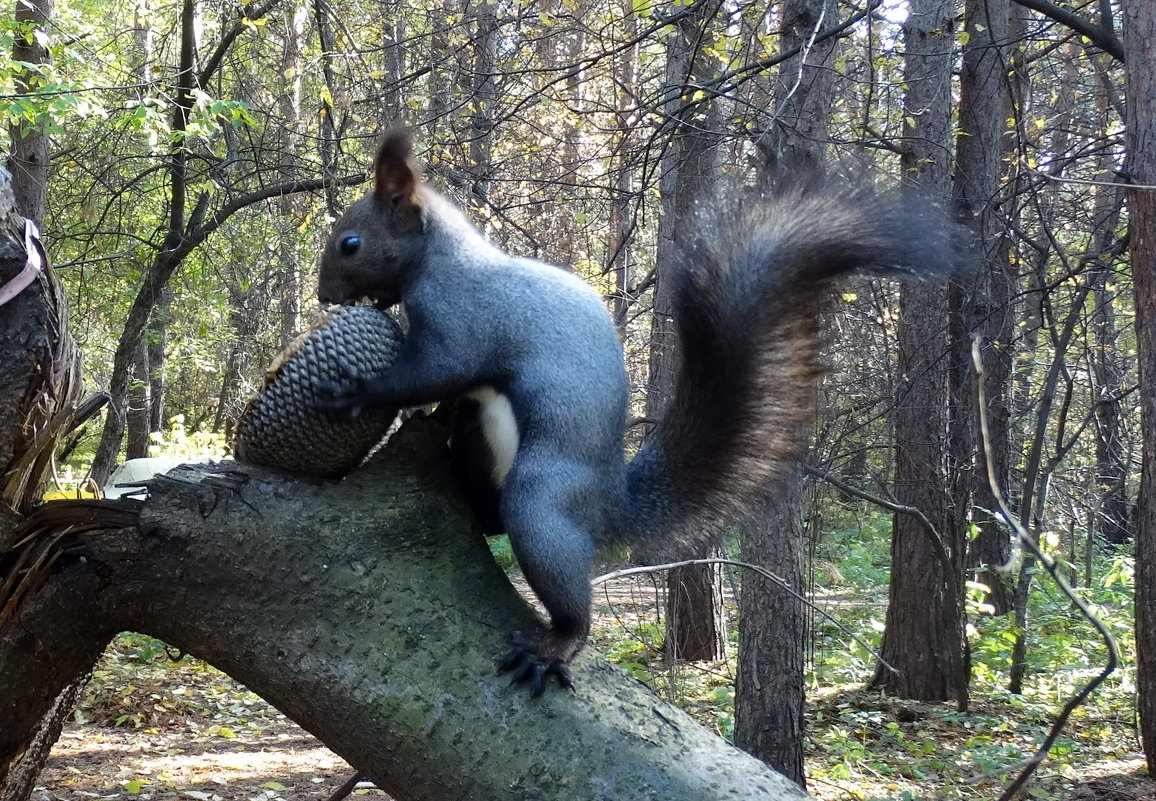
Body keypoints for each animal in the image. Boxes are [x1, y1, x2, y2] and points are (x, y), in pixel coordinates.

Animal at [316, 129, 957, 693]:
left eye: (351, 243)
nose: (324, 296)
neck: (441, 259)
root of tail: (608, 503)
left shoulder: (462, 320)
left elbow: (434, 370)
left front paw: (357, 392)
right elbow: (450, 391)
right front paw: (423, 415)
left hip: (542, 500)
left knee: (556, 575)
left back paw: (557, 644)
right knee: (487, 507)